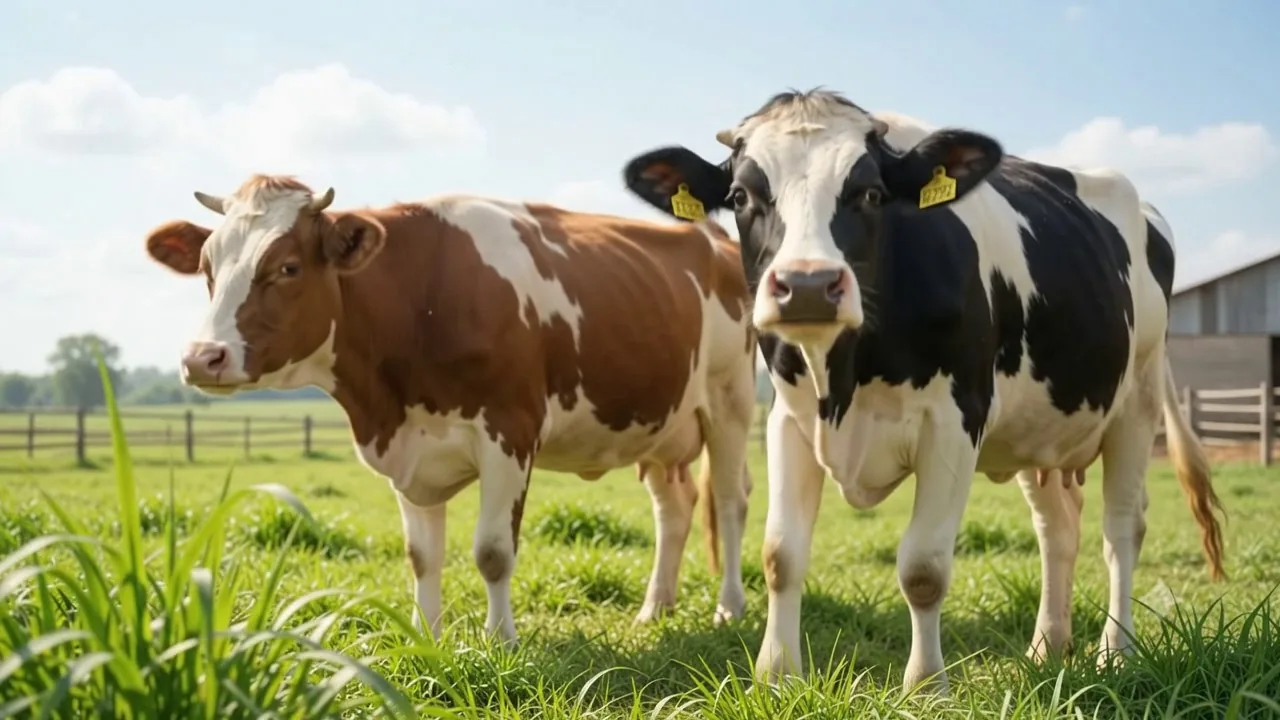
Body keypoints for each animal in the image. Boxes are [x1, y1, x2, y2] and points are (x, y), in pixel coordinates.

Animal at [141, 174, 758, 643]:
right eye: (207, 268)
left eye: (288, 266)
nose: (202, 358)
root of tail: (711, 236)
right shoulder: (407, 449)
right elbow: (422, 556)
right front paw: (426, 637)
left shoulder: (511, 433)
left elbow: (492, 551)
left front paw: (500, 642)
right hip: (661, 423)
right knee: (674, 508)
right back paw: (656, 608)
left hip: (729, 402)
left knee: (729, 502)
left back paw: (729, 608)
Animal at [617, 89, 1227, 694]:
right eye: (742, 196)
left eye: (870, 193)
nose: (808, 285)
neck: (847, 376)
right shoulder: (788, 420)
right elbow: (780, 555)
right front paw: (776, 678)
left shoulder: (954, 423)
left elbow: (924, 568)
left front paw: (926, 685)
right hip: (1040, 430)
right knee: (1058, 529)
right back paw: (1045, 647)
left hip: (1137, 400)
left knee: (1121, 528)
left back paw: (1115, 654)